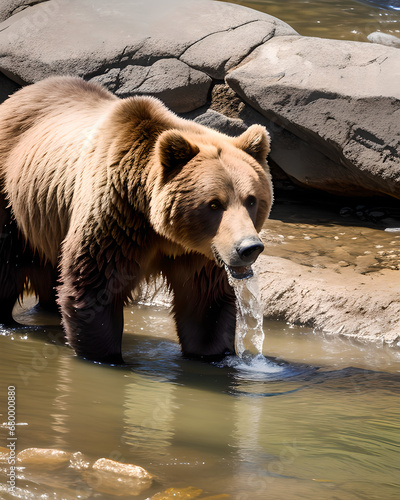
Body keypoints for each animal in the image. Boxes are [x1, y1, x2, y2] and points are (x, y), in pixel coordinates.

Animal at [0, 76, 274, 364]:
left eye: (251, 199)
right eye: (214, 204)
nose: (248, 248)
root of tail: (19, 94)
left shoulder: (200, 252)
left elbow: (205, 304)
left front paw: (211, 353)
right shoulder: (117, 217)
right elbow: (95, 285)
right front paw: (106, 355)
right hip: (10, 197)